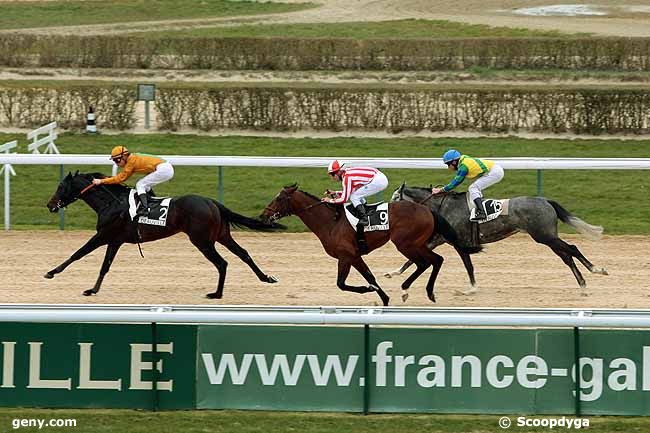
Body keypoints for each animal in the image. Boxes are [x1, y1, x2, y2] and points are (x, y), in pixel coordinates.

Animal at [45, 171, 284, 296]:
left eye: (60, 187)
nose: (50, 205)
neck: (112, 204)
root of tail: (212, 202)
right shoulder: (115, 240)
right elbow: (105, 266)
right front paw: (93, 289)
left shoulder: (104, 236)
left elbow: (78, 253)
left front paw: (51, 272)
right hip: (221, 235)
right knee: (243, 253)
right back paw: (266, 278)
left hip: (202, 240)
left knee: (222, 263)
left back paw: (216, 293)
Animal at [260, 184, 480, 306]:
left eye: (280, 198)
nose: (263, 215)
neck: (330, 222)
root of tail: (428, 210)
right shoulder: (354, 256)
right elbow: (369, 276)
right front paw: (383, 298)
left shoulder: (346, 255)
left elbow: (342, 284)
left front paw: (368, 290)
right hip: (416, 243)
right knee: (435, 260)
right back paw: (426, 292)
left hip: (405, 243)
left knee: (427, 262)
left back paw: (408, 289)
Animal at [388, 182, 604, 296]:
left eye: (395, 198)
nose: (387, 213)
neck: (443, 207)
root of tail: (545, 201)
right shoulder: (441, 239)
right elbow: (411, 258)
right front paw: (393, 272)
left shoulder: (459, 243)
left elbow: (468, 265)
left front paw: (471, 289)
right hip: (547, 237)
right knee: (566, 256)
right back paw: (583, 284)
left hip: (544, 236)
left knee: (572, 248)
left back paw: (597, 270)